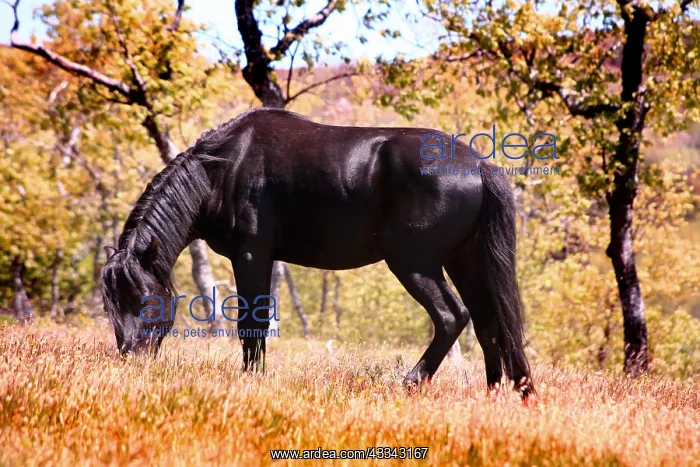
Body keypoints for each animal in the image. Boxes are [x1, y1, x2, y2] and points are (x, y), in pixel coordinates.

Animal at [101, 108, 534, 397]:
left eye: (143, 299)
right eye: (111, 305)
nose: (130, 360)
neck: (224, 167)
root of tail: (477, 165)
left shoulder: (251, 254)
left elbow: (251, 323)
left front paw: (251, 380)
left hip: (414, 263)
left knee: (452, 316)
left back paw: (411, 381)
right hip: (463, 260)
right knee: (487, 322)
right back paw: (493, 393)